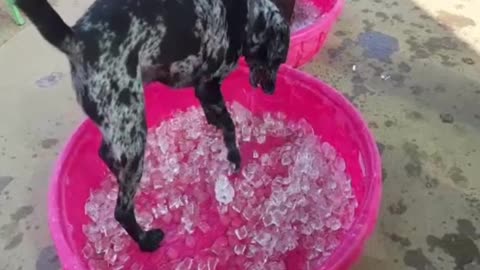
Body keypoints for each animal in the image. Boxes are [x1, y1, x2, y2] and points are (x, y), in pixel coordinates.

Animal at [17, 0, 292, 251]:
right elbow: (230, 126)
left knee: (106, 154)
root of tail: (77, 39)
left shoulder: (204, 92)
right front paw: (234, 157)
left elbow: (218, 118)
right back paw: (146, 241)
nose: (272, 90)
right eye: (279, 59)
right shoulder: (209, 86)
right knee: (122, 211)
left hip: (120, 125)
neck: (247, 15)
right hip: (132, 130)